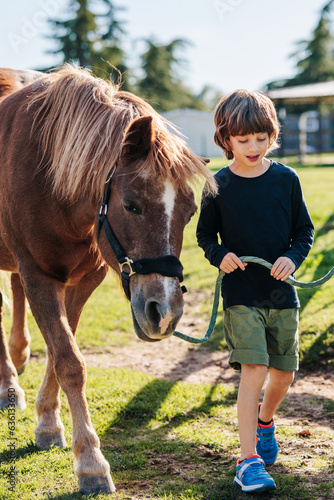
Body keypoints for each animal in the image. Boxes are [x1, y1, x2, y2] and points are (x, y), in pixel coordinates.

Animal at [0, 64, 217, 494]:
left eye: (189, 212)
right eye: (131, 205)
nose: (164, 312)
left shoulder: (86, 279)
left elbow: (61, 351)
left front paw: (47, 422)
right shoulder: (38, 276)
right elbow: (69, 361)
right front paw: (90, 462)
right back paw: (8, 385)